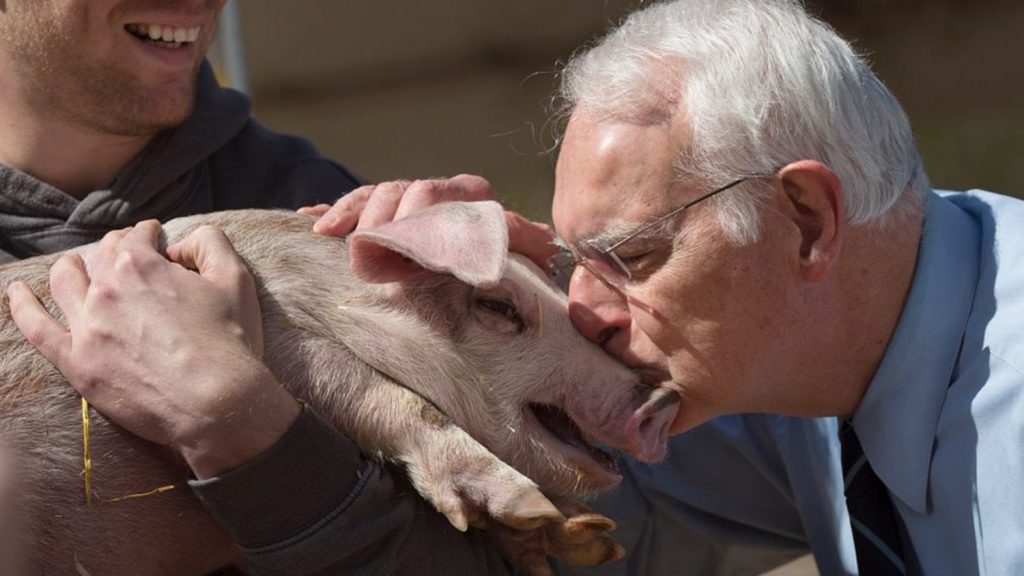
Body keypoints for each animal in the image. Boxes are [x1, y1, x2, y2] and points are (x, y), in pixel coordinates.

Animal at [0, 199, 679, 569]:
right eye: (498, 307)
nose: (662, 398)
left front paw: (588, 540)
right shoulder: (284, 344)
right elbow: (385, 396)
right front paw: (530, 507)